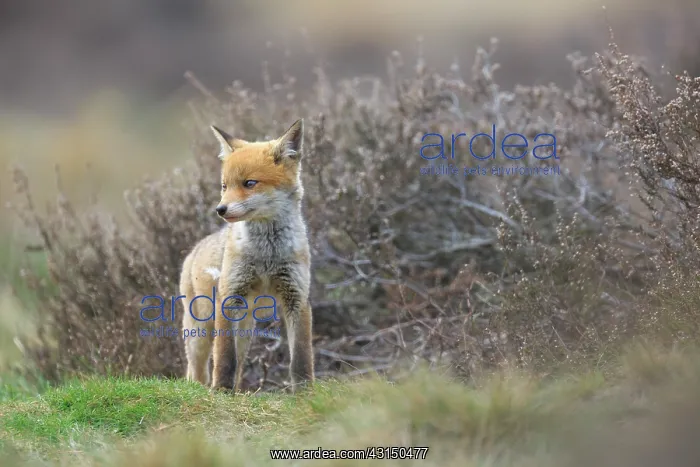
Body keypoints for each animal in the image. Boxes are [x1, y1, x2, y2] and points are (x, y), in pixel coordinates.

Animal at [180, 119, 314, 392]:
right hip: (200, 331)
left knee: (239, 364)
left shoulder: (297, 297)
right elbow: (224, 358)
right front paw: (220, 391)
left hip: (244, 331)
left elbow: (301, 358)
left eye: (249, 183)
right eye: (224, 186)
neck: (267, 256)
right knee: (197, 371)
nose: (220, 209)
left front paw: (306, 392)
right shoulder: (228, 296)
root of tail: (194, 250)